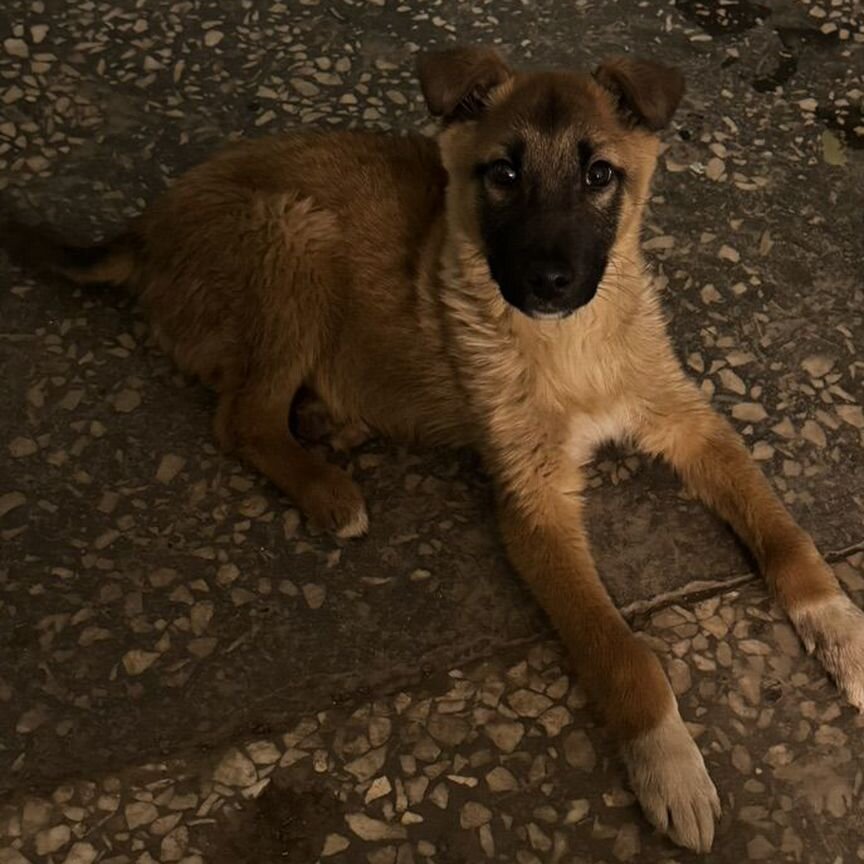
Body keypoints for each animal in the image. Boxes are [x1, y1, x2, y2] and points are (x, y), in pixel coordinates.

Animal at [6, 45, 864, 852]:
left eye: (599, 175)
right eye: (504, 174)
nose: (549, 281)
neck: (573, 344)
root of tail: (144, 229)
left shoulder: (692, 424)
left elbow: (784, 532)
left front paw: (841, 629)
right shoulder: (534, 504)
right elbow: (620, 650)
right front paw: (669, 761)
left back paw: (332, 422)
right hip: (294, 233)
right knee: (241, 417)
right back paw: (330, 489)